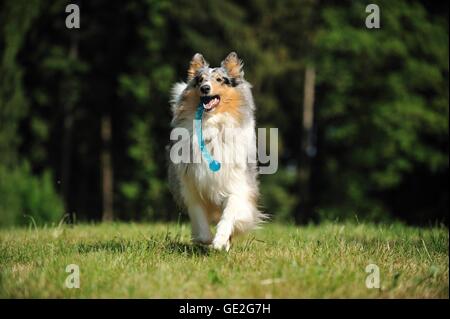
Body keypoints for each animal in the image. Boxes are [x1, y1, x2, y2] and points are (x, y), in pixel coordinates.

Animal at [169, 53, 264, 252]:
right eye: (200, 80)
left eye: (220, 79)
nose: (205, 88)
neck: (211, 124)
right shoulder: (191, 187)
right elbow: (199, 218)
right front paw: (206, 240)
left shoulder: (238, 184)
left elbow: (229, 213)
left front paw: (220, 240)